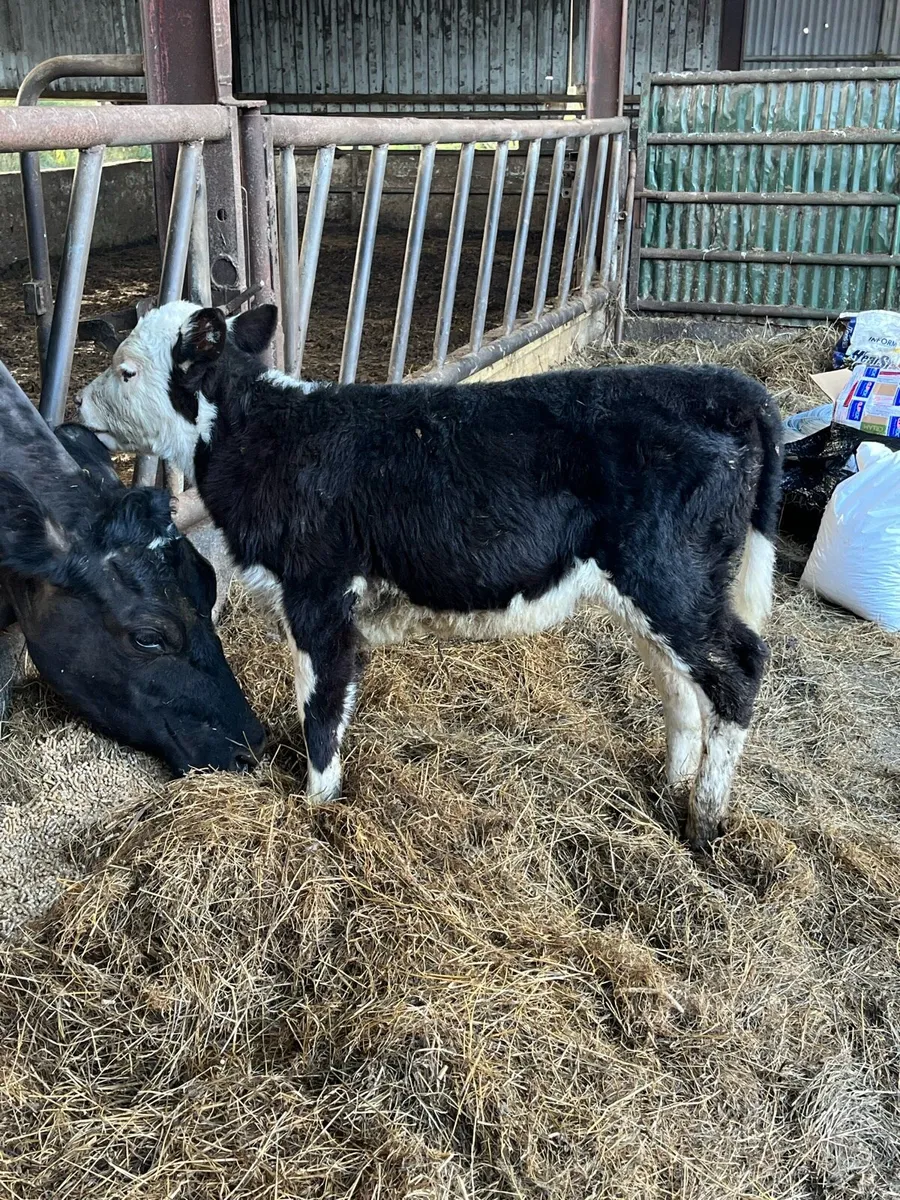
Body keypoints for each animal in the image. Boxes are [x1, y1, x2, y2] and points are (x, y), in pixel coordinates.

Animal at [77, 301, 783, 849]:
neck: (264, 437)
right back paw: (667, 790)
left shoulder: (319, 596)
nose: (79, 403)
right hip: (656, 593)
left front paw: (316, 811)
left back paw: (705, 822)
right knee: (679, 684)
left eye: (125, 367)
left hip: (669, 578)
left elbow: (321, 710)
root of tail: (730, 387)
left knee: (740, 669)